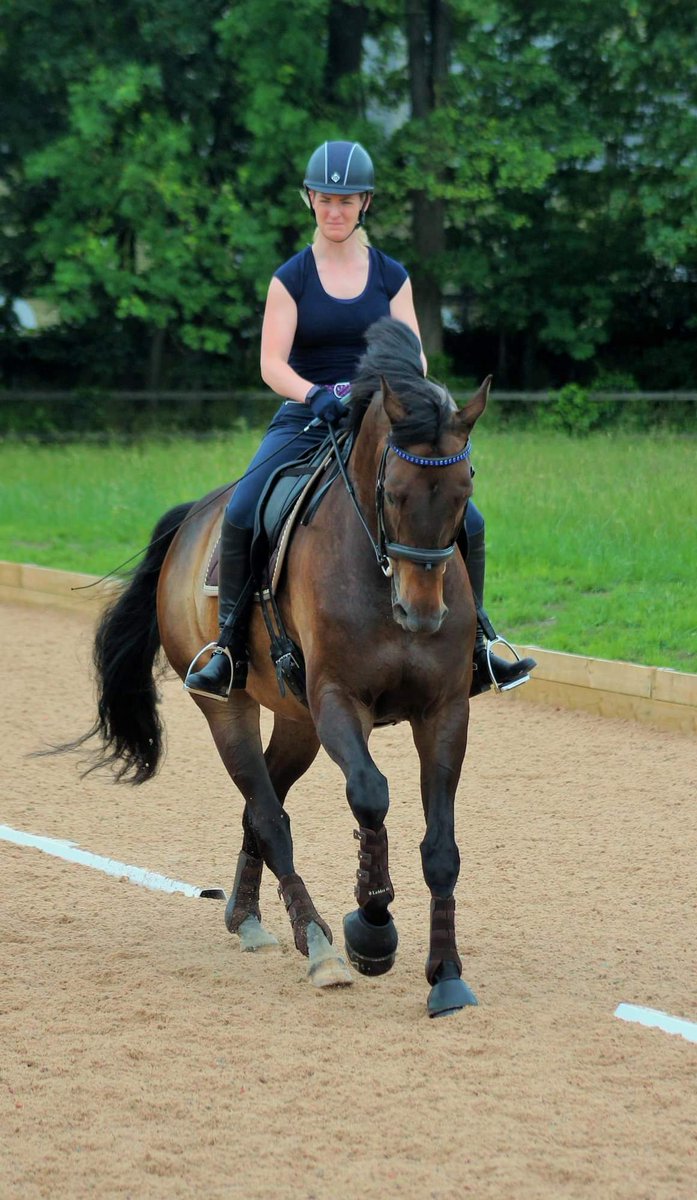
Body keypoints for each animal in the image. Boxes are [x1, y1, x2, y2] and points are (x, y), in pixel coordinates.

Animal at [81, 318, 489, 1017]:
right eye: (393, 494)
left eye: (464, 495)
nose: (422, 614)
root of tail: (195, 518)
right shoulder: (338, 701)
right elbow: (370, 794)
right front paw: (372, 929)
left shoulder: (444, 712)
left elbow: (442, 846)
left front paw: (447, 976)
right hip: (230, 706)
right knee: (270, 817)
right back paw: (321, 946)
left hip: (298, 722)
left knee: (261, 806)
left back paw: (246, 918)